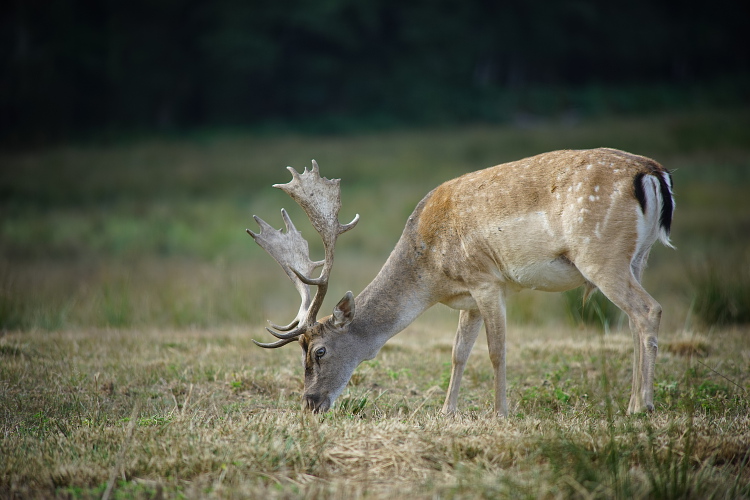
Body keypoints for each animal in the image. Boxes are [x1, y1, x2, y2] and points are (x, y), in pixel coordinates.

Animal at [247, 148, 676, 418]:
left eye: (319, 351)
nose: (310, 403)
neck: (432, 273)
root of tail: (654, 173)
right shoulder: (467, 298)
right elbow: (458, 353)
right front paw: (446, 411)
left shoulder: (487, 280)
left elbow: (496, 351)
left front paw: (500, 413)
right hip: (638, 257)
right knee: (636, 321)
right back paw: (632, 401)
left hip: (600, 255)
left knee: (650, 309)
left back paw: (642, 406)